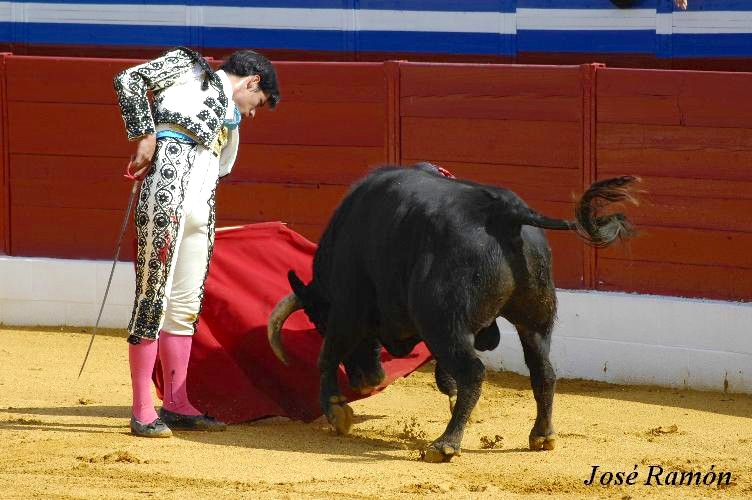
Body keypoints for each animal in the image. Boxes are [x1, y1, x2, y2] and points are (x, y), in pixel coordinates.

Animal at [266, 166, 636, 462]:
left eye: (317, 321)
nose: (367, 380)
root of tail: (507, 213)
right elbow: (445, 374)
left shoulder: (347, 309)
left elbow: (327, 356)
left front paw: (336, 411)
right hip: (533, 320)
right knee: (542, 370)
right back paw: (542, 436)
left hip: (442, 322)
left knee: (474, 371)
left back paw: (444, 445)